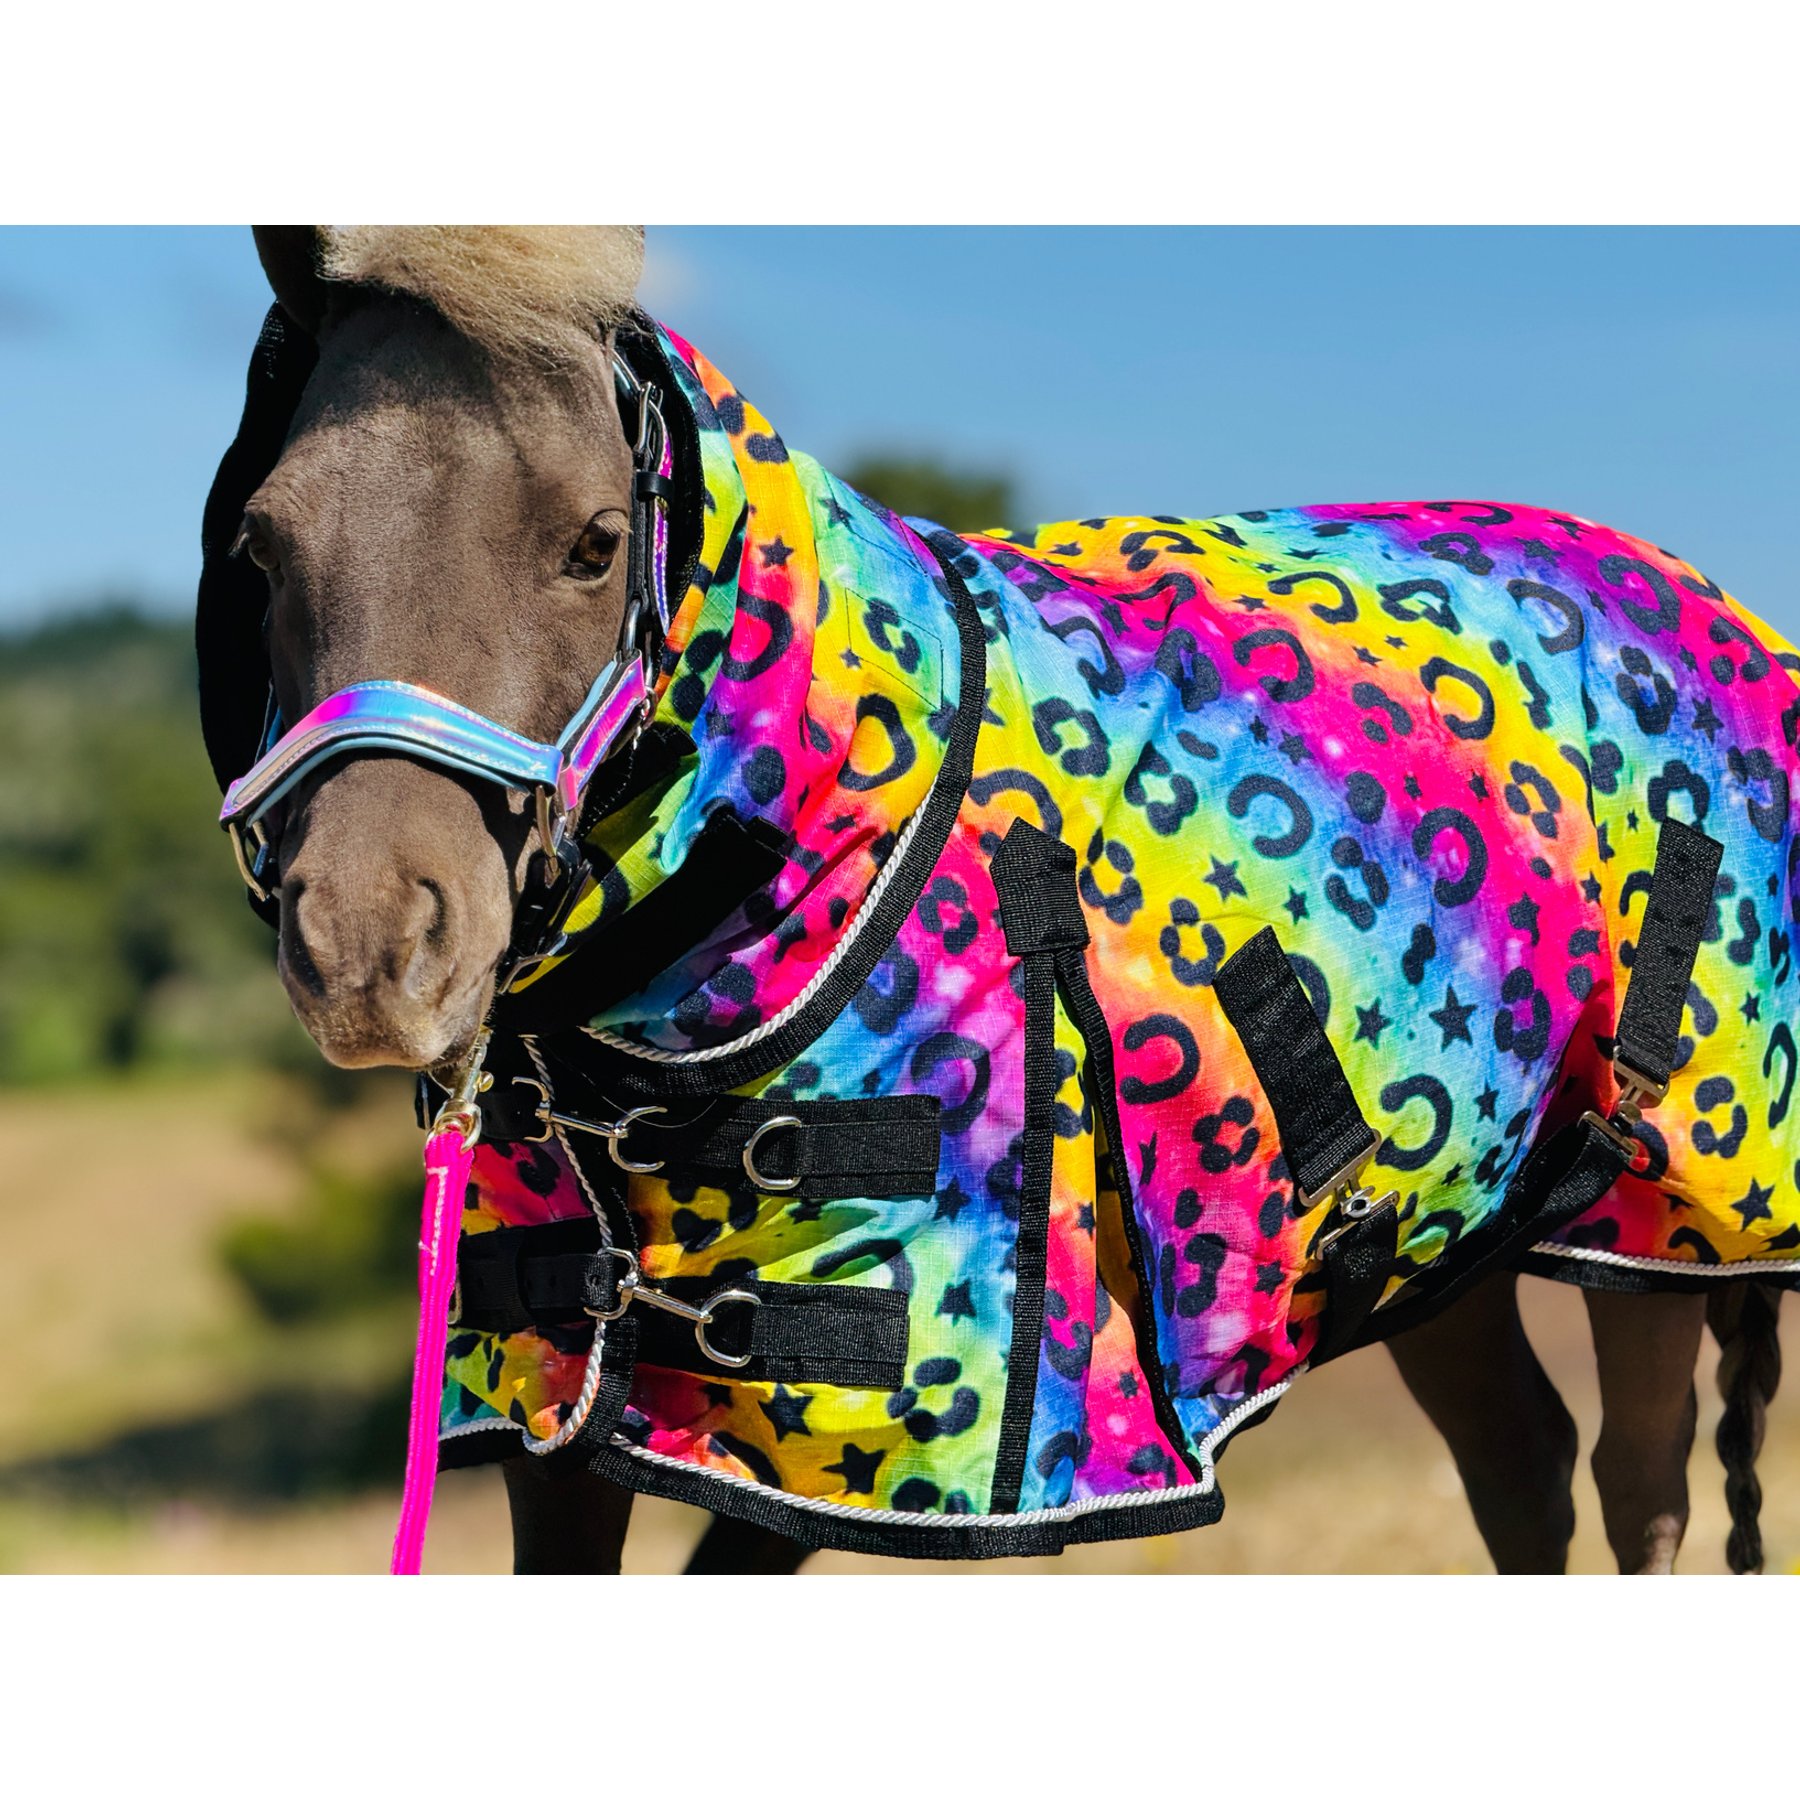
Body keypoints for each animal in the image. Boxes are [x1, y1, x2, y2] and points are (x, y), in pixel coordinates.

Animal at [197, 226, 1796, 1574]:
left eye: (593, 542)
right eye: (262, 544)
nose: (369, 949)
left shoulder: (857, 1438)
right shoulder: (565, 1409)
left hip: (1655, 1222)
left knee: (1639, 1487)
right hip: (1424, 1237)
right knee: (1523, 1466)